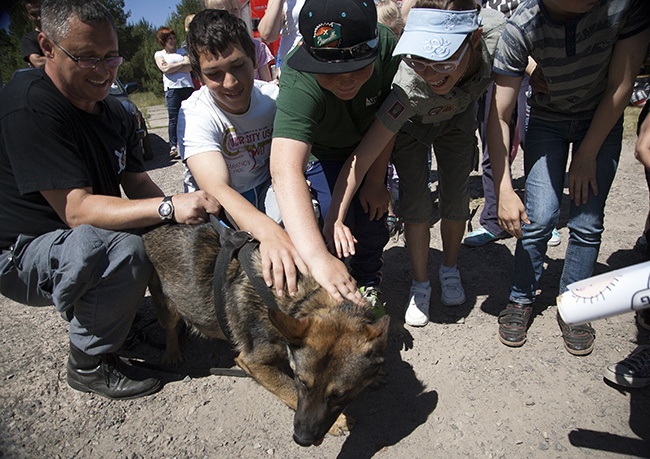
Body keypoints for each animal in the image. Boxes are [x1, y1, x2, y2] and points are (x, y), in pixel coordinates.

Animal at [142, 225, 388, 448]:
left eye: (339, 395)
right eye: (302, 383)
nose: (302, 440)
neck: (302, 299)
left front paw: (376, 375)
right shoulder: (253, 363)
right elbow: (287, 388)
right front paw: (339, 422)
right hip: (166, 306)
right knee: (170, 327)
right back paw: (172, 353)